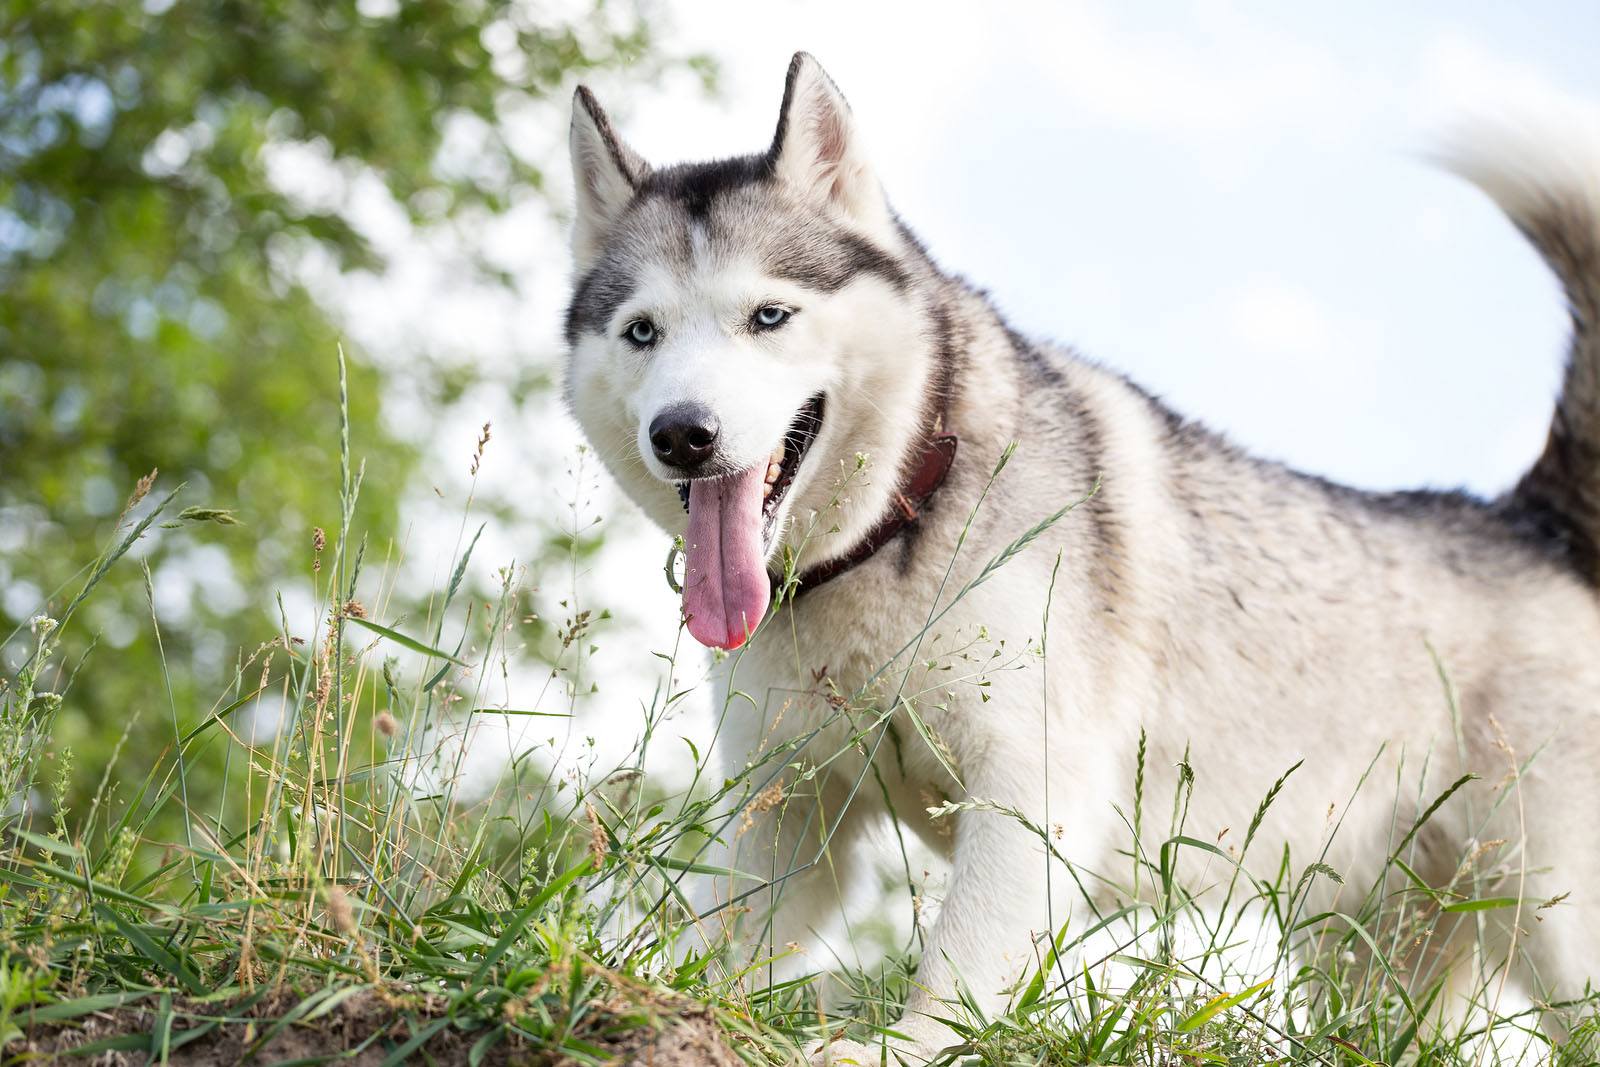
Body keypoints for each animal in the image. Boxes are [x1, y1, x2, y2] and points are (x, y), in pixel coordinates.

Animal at [563, 54, 1600, 1062]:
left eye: (769, 317)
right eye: (642, 332)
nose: (683, 434)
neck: (899, 521)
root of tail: (1525, 526)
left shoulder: (1034, 786)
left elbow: (960, 957)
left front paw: (900, 1044)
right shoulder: (790, 804)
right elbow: (721, 936)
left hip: (1551, 921)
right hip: (1387, 944)